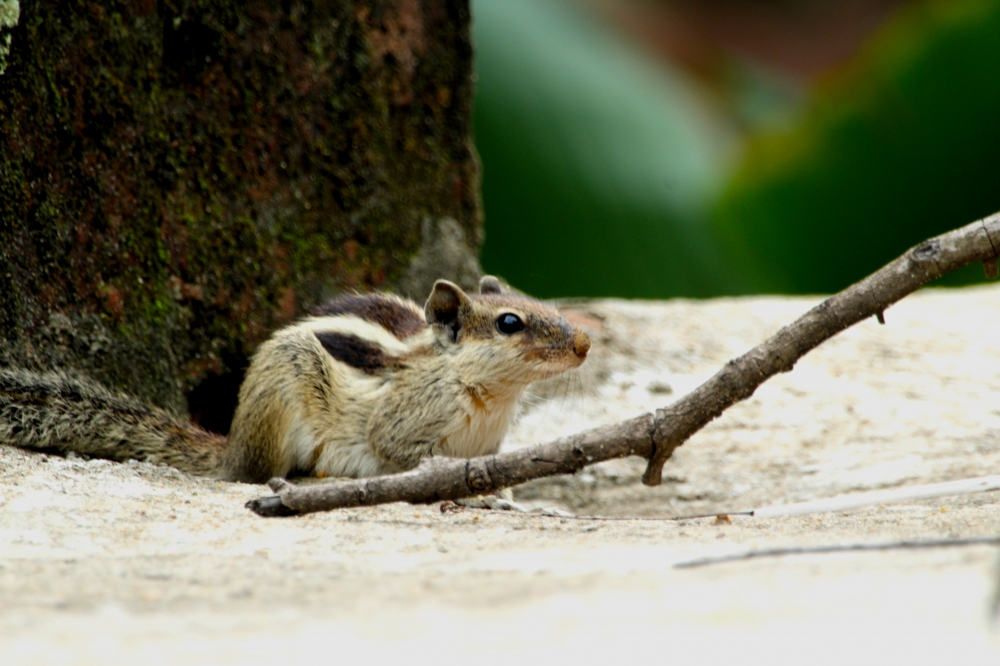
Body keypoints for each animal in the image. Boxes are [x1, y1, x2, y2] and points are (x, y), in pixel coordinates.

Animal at [0, 276, 591, 484]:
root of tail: (234, 444)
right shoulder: (403, 424)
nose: (585, 344)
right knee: (257, 475)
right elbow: (402, 453)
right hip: (287, 383)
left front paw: (502, 496)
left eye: (533, 300)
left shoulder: (489, 443)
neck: (491, 397)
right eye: (510, 323)